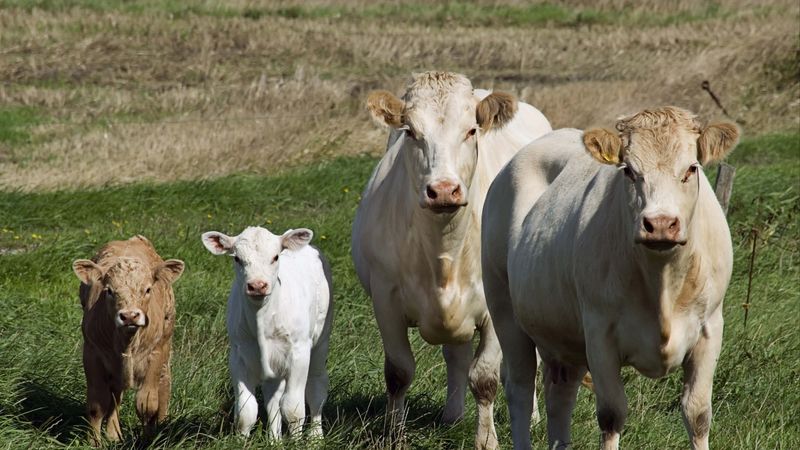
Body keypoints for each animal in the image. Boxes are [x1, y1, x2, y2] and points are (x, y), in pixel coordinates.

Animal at [72, 235, 185, 445]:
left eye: (147, 289)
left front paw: (147, 440)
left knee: (163, 384)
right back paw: (113, 433)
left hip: (166, 346)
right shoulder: (92, 354)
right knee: (116, 395)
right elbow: (97, 404)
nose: (130, 316)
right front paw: (94, 442)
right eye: (109, 290)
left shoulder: (155, 355)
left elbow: (147, 404)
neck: (127, 341)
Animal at [201, 226, 333, 439]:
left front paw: (297, 441)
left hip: (321, 340)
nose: (257, 285)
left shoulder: (299, 353)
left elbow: (293, 408)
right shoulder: (238, 356)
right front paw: (241, 441)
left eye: (275, 257)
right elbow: (246, 411)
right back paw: (274, 440)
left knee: (316, 388)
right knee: (273, 398)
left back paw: (315, 437)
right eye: (237, 258)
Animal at [351, 71, 552, 449]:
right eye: (410, 131)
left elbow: (485, 377)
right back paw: (452, 415)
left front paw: (486, 440)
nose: (444, 190)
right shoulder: (385, 299)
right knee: (456, 356)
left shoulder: (494, 306)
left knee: (525, 361)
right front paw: (395, 435)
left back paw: (532, 417)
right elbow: (398, 372)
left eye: (471, 130)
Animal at [481, 106, 739, 449]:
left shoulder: (710, 328)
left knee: (559, 398)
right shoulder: (599, 334)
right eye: (628, 170)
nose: (660, 224)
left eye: (691, 168)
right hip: (504, 310)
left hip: (562, 338)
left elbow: (697, 414)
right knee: (520, 388)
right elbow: (611, 415)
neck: (662, 283)